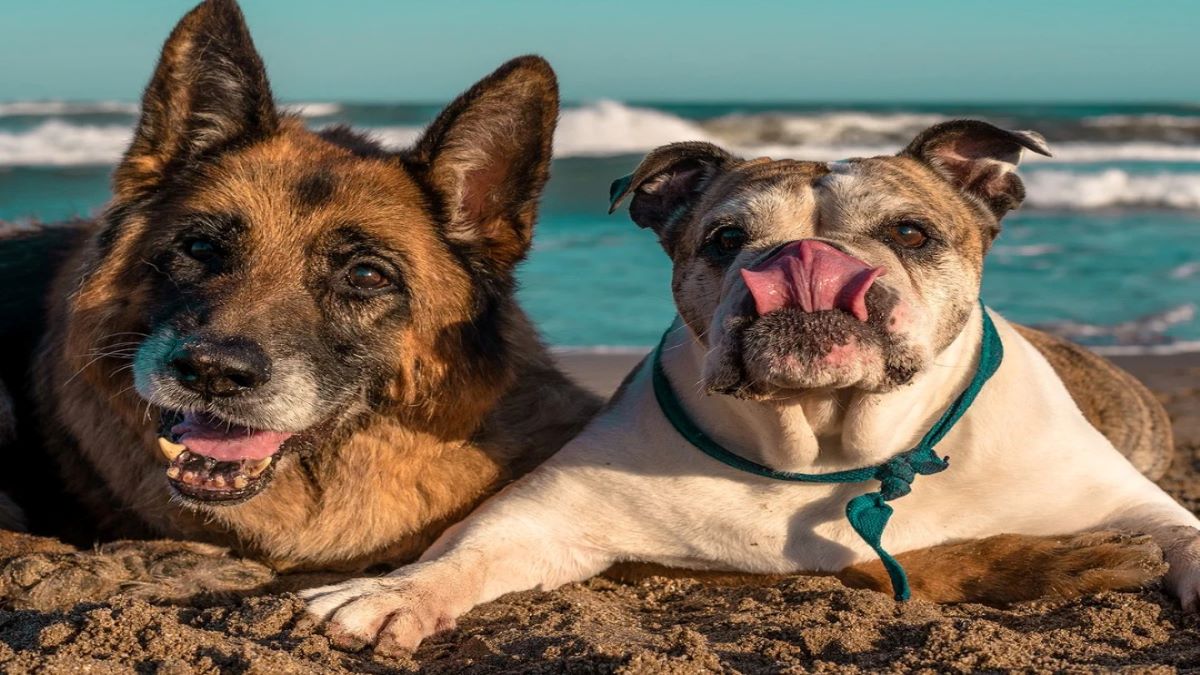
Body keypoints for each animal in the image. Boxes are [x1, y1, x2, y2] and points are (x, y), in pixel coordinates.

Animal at [302, 120, 1200, 653]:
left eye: (912, 232)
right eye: (725, 239)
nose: (803, 258)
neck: (826, 441)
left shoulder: (1130, 502)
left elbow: (1182, 533)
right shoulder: (544, 517)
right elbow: (466, 549)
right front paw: (392, 593)